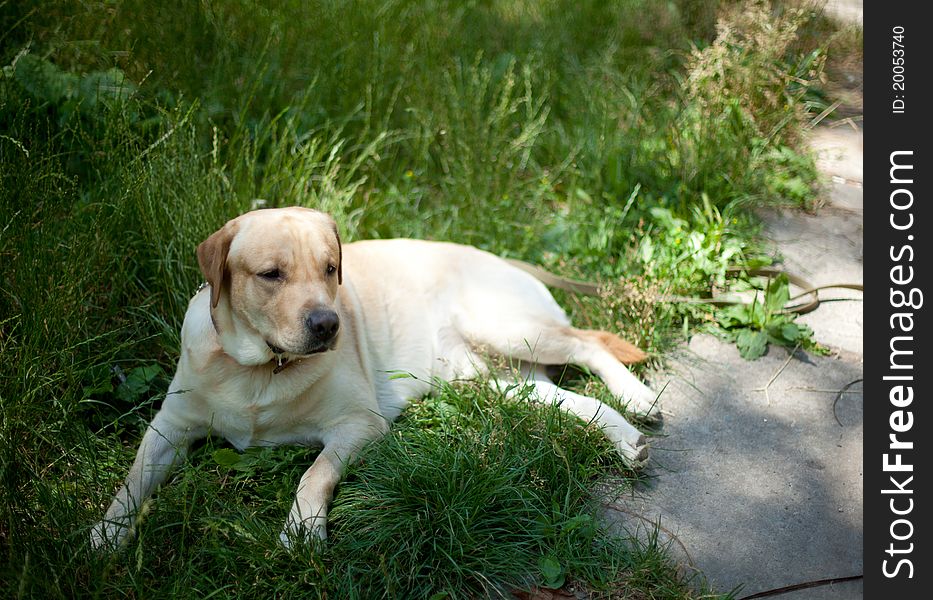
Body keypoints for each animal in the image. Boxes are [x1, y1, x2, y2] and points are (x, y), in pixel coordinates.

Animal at [87, 206, 656, 548]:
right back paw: (625, 437)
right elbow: (133, 480)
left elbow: (314, 472)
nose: (327, 324)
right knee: (565, 398)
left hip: (505, 327)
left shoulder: (358, 424)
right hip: (491, 381)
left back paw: (638, 398)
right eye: (271, 275)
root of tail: (499, 256)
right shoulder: (170, 427)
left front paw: (303, 529)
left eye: (330, 268)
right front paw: (106, 534)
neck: (260, 369)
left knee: (587, 344)